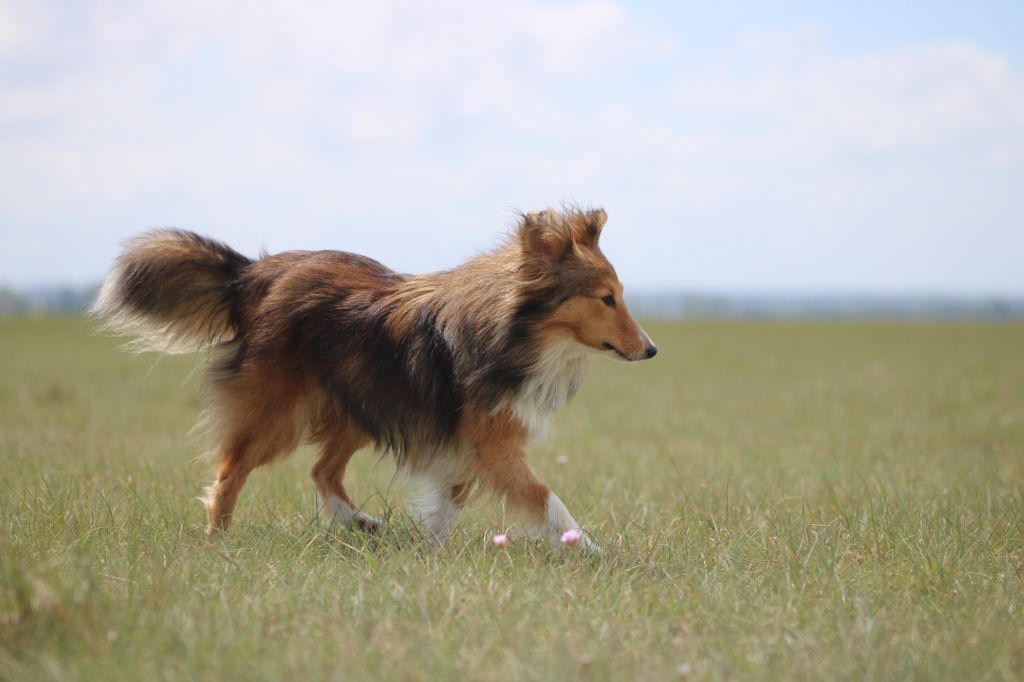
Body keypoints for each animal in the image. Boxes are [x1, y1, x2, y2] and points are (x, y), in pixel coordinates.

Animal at [94, 204, 655, 548]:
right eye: (606, 298)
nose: (652, 349)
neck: (518, 330)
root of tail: (251, 275)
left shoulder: (465, 441)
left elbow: (448, 503)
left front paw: (434, 553)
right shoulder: (492, 443)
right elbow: (544, 498)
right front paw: (592, 551)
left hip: (360, 401)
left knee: (322, 470)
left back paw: (361, 522)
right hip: (279, 412)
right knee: (231, 470)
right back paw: (219, 542)